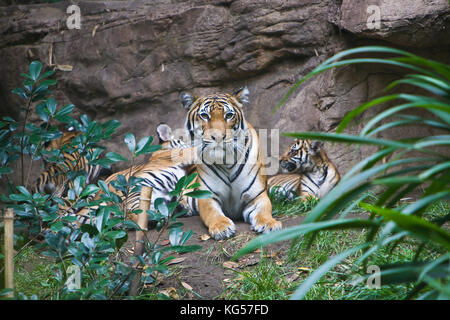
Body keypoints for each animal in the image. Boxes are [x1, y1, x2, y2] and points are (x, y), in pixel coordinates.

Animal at [180, 86, 282, 239]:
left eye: (228, 115)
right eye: (204, 115)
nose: (217, 137)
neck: (225, 162)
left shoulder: (257, 195)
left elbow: (264, 210)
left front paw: (269, 224)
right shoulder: (207, 196)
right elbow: (213, 213)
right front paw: (221, 227)